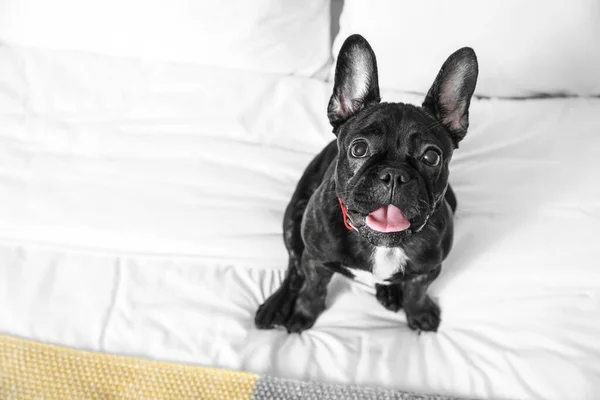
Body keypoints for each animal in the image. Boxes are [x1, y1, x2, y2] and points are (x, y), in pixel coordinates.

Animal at [253, 34, 478, 332]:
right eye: (359, 149)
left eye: (431, 157)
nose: (394, 174)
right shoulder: (316, 259)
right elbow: (312, 289)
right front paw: (303, 314)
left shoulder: (430, 268)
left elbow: (417, 290)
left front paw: (418, 312)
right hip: (294, 214)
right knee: (294, 265)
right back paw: (277, 304)